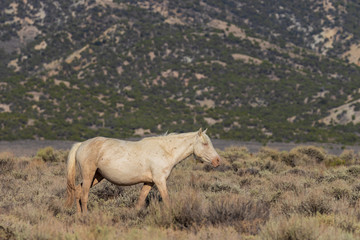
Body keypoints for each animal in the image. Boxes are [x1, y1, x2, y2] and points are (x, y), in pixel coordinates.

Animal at [65, 128, 221, 213]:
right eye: (205, 143)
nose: (217, 161)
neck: (165, 151)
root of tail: (81, 144)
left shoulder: (149, 183)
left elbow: (140, 202)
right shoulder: (160, 181)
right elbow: (166, 199)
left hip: (97, 176)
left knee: (77, 191)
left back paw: (78, 215)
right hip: (89, 175)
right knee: (84, 195)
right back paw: (85, 215)